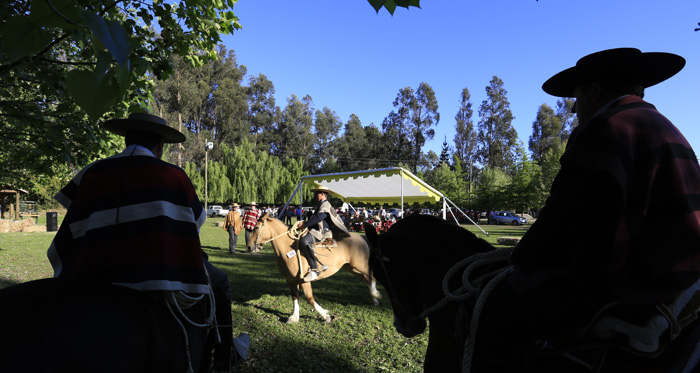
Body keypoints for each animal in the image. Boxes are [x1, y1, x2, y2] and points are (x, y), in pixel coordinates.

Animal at [245, 212, 380, 322]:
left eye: (256, 227)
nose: (249, 247)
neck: (287, 250)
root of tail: (360, 236)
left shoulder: (304, 280)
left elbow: (309, 298)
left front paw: (325, 315)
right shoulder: (290, 280)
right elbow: (295, 297)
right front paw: (294, 317)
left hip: (360, 265)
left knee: (372, 277)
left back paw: (376, 295)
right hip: (350, 268)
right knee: (367, 279)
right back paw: (375, 298)